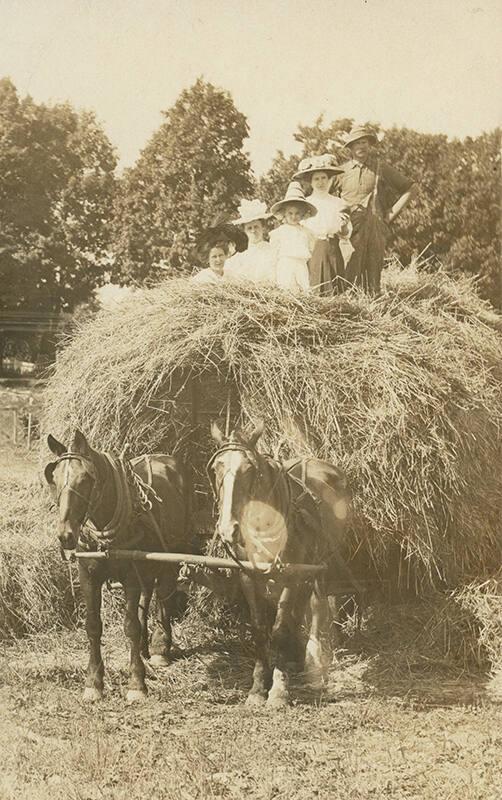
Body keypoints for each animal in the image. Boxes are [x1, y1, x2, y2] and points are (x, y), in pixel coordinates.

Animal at [44, 432, 190, 700]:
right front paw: (93, 682)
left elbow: (130, 626)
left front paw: (136, 684)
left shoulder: (130, 576)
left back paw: (159, 648)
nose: (65, 535)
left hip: (170, 554)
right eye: (54, 478)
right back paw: (144, 648)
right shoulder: (88, 576)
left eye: (85, 479)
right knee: (148, 595)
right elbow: (93, 626)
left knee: (164, 594)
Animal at [208, 418, 350, 708]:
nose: (228, 529)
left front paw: (279, 690)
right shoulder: (248, 576)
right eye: (216, 468)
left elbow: (281, 629)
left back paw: (314, 662)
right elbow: (260, 629)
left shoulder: (292, 575)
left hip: (319, 563)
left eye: (250, 470)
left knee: (317, 606)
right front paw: (258, 687)